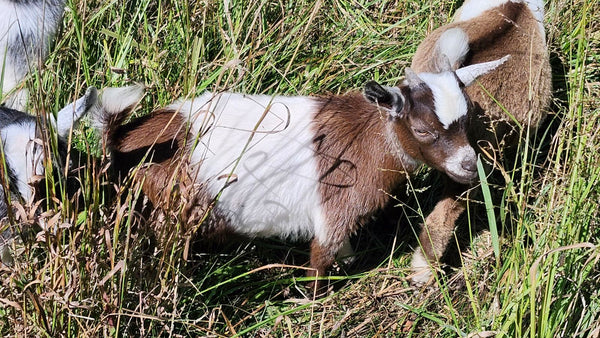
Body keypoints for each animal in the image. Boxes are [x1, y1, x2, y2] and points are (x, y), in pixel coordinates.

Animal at [94, 54, 506, 290]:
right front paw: (312, 301)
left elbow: (342, 251)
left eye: (468, 118)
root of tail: (124, 141)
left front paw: (348, 263)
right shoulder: (335, 207)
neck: (369, 137)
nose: (469, 166)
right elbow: (320, 257)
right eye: (422, 130)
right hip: (172, 209)